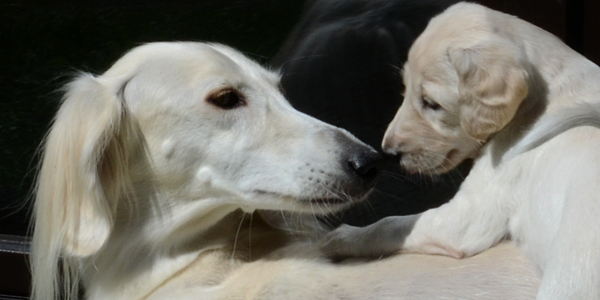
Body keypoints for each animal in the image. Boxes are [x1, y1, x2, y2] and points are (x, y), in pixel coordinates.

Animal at [324, 2, 600, 300]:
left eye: (430, 103)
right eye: (405, 89)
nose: (388, 153)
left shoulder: (468, 216)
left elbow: (392, 224)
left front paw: (342, 237)